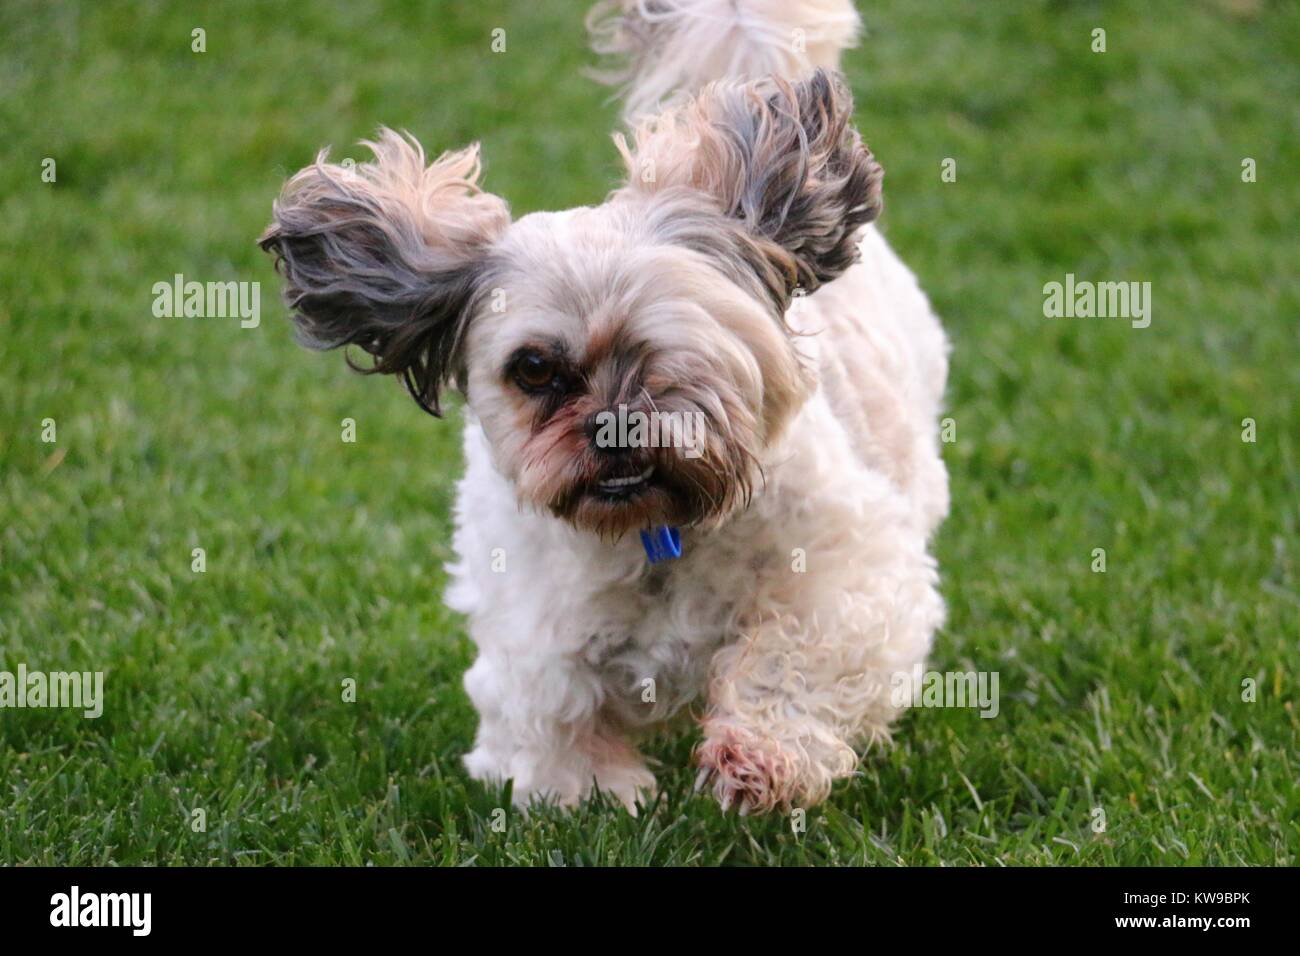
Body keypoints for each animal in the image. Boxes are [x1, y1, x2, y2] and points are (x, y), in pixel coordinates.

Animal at [261, 1, 956, 816]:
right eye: (533, 369)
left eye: (671, 352)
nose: (610, 422)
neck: (654, 533)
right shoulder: (529, 619)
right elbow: (549, 705)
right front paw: (587, 793)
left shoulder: (850, 568)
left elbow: (797, 653)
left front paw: (755, 757)